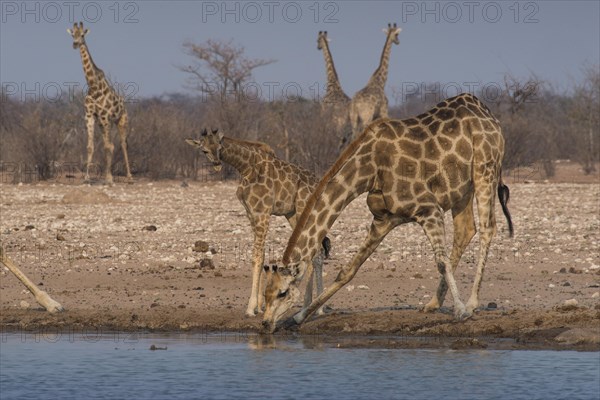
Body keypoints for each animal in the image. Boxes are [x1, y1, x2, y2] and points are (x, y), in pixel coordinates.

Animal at [68, 21, 133, 184]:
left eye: (82, 35)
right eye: (73, 35)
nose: (75, 44)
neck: (93, 85)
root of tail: (124, 106)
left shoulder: (104, 116)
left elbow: (109, 146)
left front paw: (109, 178)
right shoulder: (90, 116)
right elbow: (91, 146)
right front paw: (87, 177)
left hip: (121, 121)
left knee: (123, 144)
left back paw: (129, 177)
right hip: (103, 124)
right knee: (110, 144)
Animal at [185, 130, 330, 318]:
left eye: (219, 146)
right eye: (204, 150)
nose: (217, 164)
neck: (245, 168)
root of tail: (318, 183)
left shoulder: (263, 213)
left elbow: (257, 256)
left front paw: (250, 307)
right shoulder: (251, 213)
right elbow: (261, 257)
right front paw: (260, 306)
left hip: (303, 210)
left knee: (318, 252)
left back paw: (318, 307)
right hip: (292, 215)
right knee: (315, 251)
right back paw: (313, 305)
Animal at [262, 93, 516, 332]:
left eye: (283, 292)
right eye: (266, 292)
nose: (265, 323)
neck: (369, 171)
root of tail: (489, 115)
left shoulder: (428, 208)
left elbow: (441, 261)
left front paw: (461, 311)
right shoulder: (383, 219)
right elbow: (348, 270)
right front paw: (297, 318)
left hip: (485, 169)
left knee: (487, 228)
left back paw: (472, 303)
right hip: (461, 190)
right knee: (466, 229)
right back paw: (432, 303)